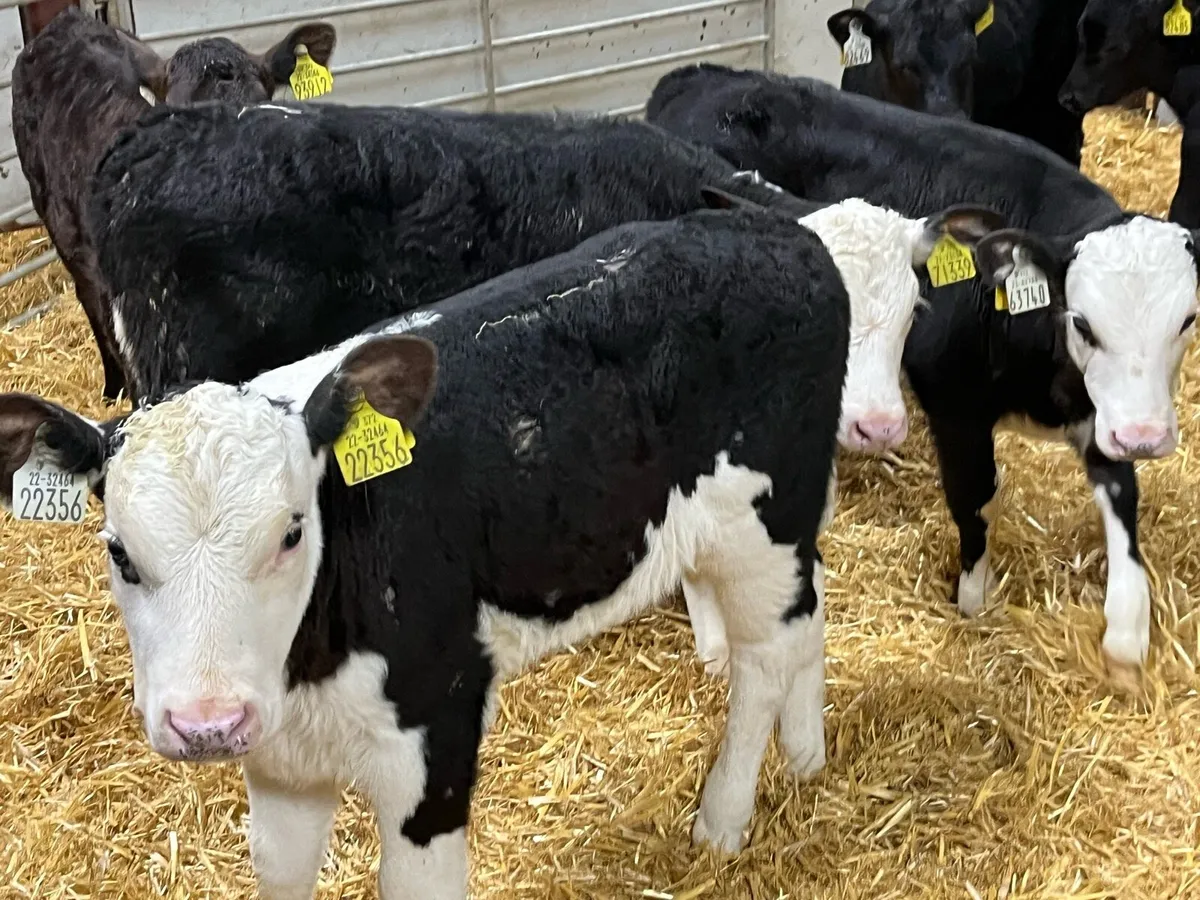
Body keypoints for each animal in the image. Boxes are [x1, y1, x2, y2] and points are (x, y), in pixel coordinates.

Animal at [1, 209, 855, 895]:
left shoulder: (437, 729)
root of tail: (778, 229)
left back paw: (724, 815)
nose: (206, 724)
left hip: (762, 524)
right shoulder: (278, 759)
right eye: (119, 553)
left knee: (762, 659)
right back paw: (807, 756)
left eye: (291, 531)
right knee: (807, 612)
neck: (314, 663)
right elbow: (280, 873)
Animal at [647, 64, 1200, 671]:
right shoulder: (956, 411)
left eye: (1188, 320)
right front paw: (973, 601)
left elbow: (1124, 500)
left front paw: (1128, 629)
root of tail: (702, 73)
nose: (1145, 437)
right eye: (1082, 322)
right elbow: (974, 500)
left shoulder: (1103, 412)